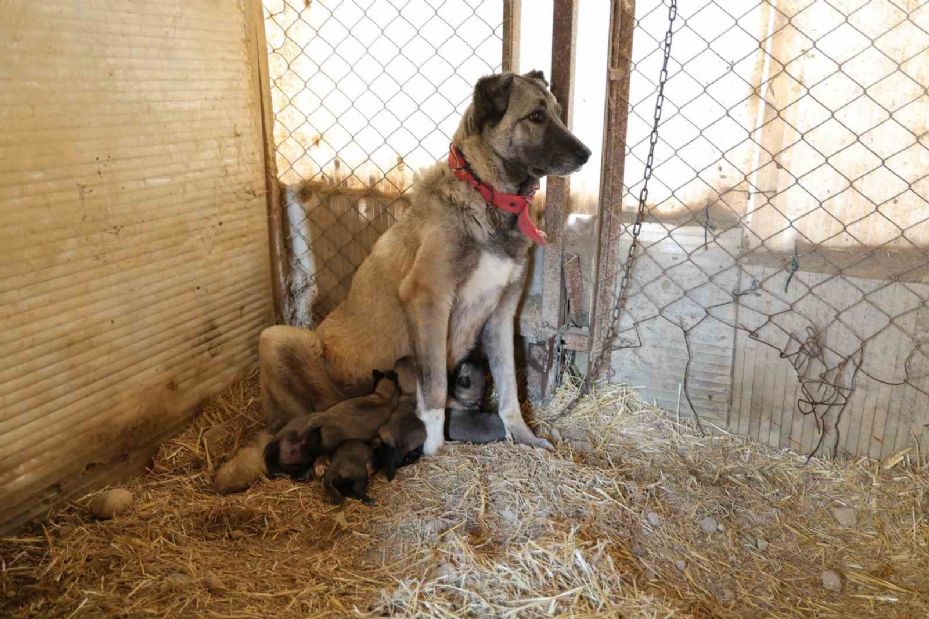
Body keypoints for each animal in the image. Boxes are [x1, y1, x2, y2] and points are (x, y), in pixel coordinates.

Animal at [258, 69, 588, 456]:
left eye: (557, 113)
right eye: (536, 116)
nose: (587, 154)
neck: (486, 194)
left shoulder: (501, 314)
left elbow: (509, 390)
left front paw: (522, 435)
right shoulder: (428, 301)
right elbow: (434, 390)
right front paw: (433, 447)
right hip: (275, 338)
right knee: (294, 414)